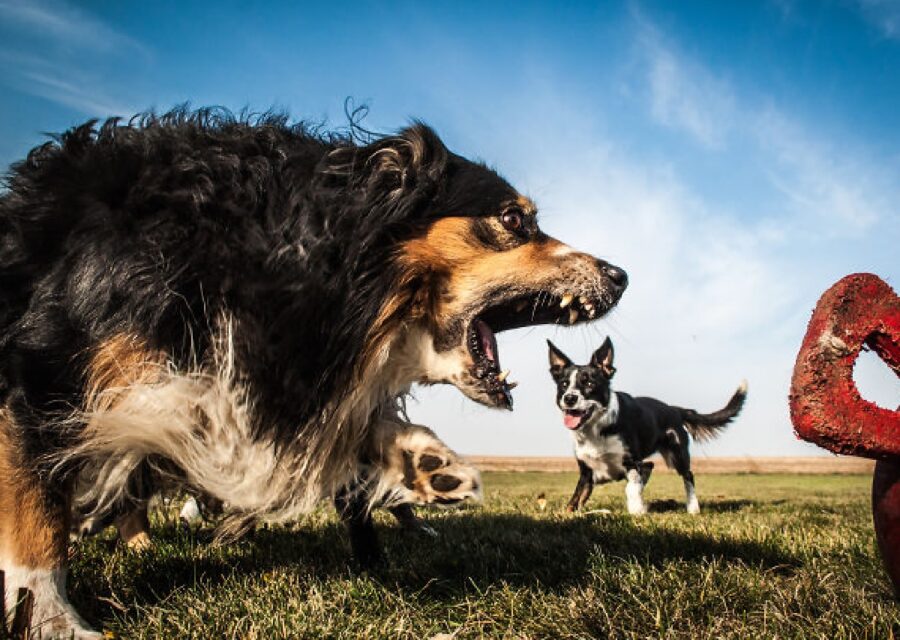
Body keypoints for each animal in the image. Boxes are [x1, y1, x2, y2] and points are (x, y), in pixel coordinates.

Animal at [0, 107, 624, 636]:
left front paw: (422, 462)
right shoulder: (43, 372)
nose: (621, 277)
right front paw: (48, 616)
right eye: (514, 219)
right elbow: (37, 511)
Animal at [548, 340, 744, 516]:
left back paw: (693, 508)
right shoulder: (586, 471)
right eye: (564, 384)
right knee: (650, 466)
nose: (569, 398)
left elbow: (631, 487)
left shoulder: (631, 462)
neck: (596, 430)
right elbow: (577, 496)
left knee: (688, 476)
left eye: (590, 384)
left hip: (678, 454)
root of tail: (674, 409)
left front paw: (637, 509)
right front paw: (568, 512)